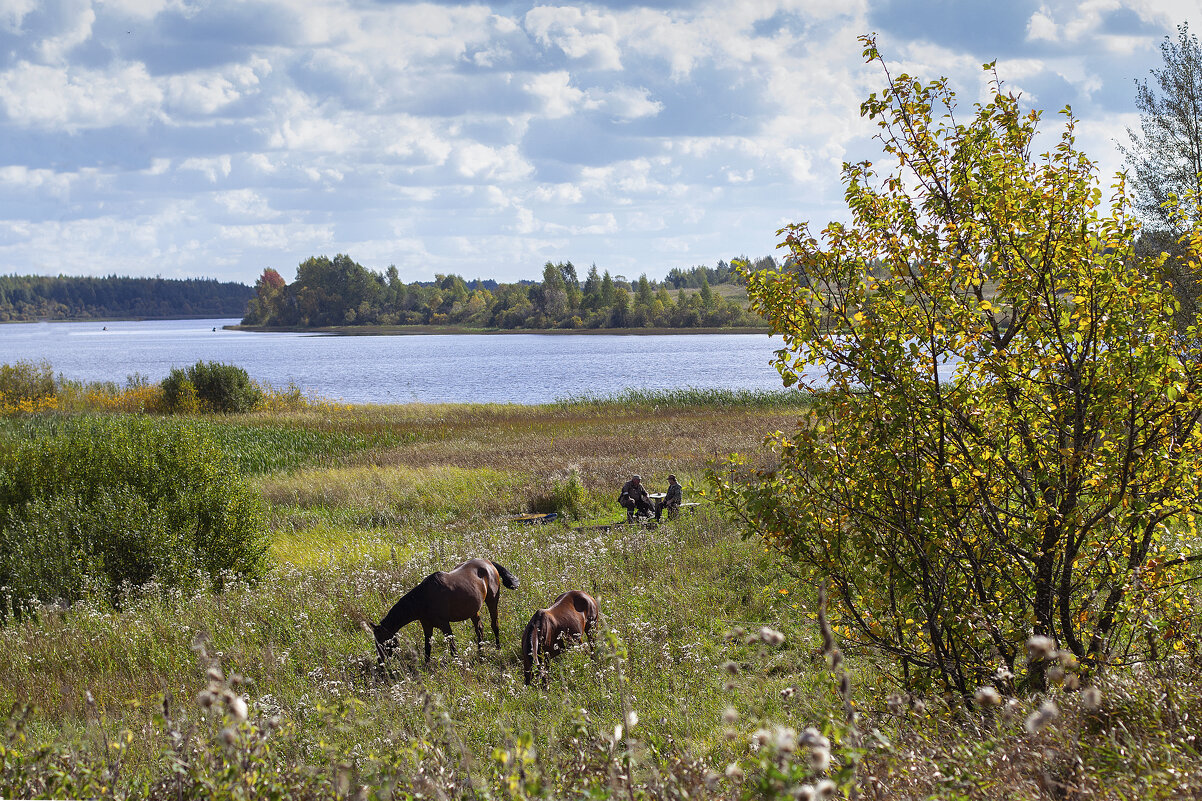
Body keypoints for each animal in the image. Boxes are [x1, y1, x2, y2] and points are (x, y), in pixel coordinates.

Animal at [372, 555, 519, 659]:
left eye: (382, 641)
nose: (381, 661)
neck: (423, 599)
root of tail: (488, 562)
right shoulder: (427, 626)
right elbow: (427, 648)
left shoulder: (444, 624)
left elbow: (453, 648)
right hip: (473, 610)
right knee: (479, 628)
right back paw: (480, 653)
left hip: (492, 601)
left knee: (494, 624)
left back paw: (498, 648)